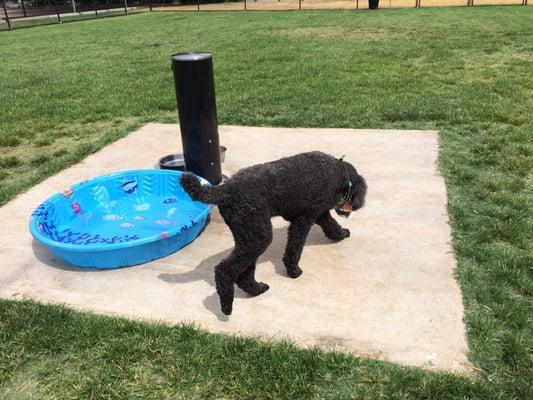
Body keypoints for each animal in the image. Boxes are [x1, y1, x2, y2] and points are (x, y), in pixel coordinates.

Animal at [180, 151, 366, 316]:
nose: (352, 208)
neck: (338, 172)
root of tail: (224, 190)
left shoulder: (318, 214)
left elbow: (331, 226)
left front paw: (341, 233)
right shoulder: (304, 219)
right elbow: (294, 248)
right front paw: (294, 271)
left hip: (249, 237)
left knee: (243, 276)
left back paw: (257, 289)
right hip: (257, 237)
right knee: (224, 271)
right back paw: (227, 306)